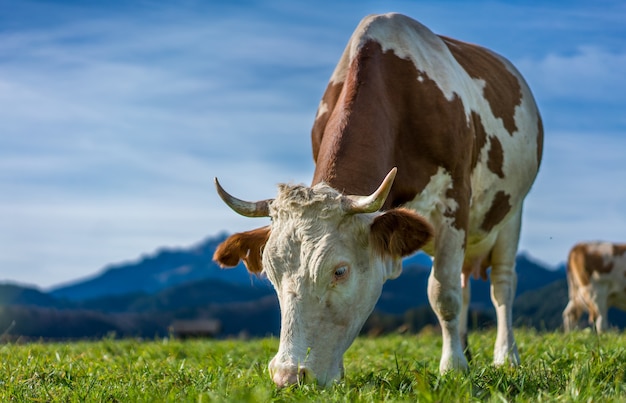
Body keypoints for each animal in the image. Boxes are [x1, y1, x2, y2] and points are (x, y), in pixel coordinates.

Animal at [211, 13, 540, 388]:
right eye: (270, 271)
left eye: (340, 271)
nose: (288, 376)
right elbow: (450, 289)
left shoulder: (454, 203)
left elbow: (443, 294)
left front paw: (453, 368)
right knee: (465, 283)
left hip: (511, 213)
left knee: (502, 286)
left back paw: (506, 357)